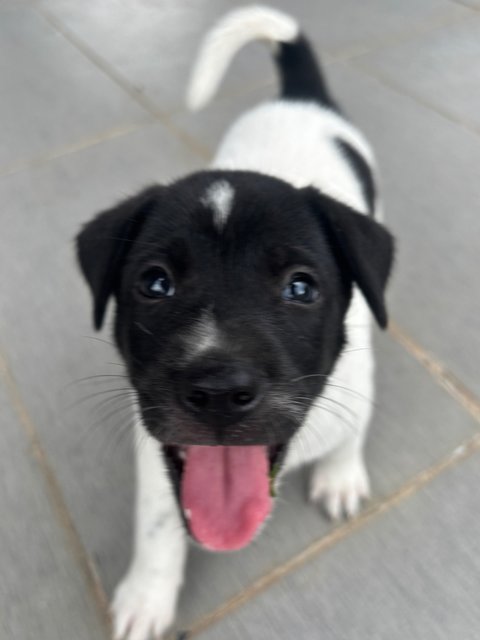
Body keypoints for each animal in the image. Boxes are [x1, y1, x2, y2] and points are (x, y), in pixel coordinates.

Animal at [77, 6, 394, 640]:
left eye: (301, 287)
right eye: (155, 284)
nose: (220, 392)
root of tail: (300, 100)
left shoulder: (356, 383)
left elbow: (353, 431)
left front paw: (341, 475)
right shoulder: (157, 447)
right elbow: (158, 523)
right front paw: (148, 593)